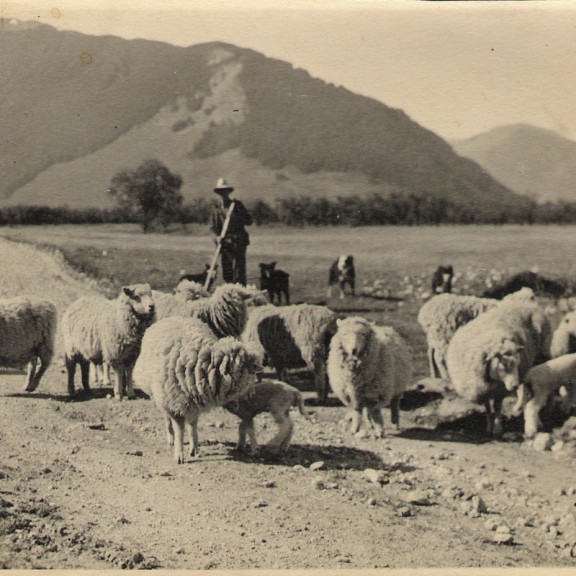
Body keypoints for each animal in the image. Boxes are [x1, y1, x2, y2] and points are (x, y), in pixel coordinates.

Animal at [133, 316, 260, 464]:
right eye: (251, 372)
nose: (252, 393)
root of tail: (174, 317)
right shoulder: (175, 405)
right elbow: (179, 431)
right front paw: (179, 454)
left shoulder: (197, 402)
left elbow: (193, 425)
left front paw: (194, 448)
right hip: (161, 396)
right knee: (166, 417)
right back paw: (170, 437)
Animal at [444, 302, 552, 436]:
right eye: (504, 365)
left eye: (517, 363)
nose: (514, 386)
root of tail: (529, 305)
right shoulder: (482, 389)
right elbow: (487, 408)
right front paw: (489, 426)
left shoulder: (499, 390)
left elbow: (497, 407)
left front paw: (497, 428)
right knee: (523, 388)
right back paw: (519, 406)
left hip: (539, 358)